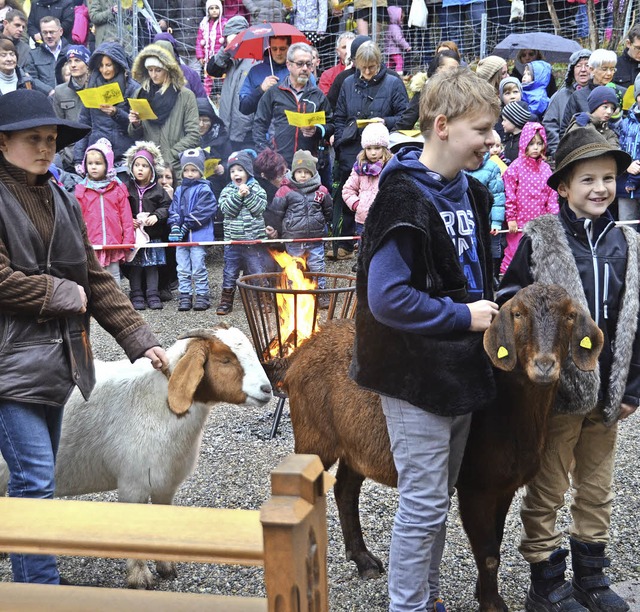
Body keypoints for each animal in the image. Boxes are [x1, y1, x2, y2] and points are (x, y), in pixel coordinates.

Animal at [0, 326, 272, 588]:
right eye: (225, 359)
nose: (267, 389)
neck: (158, 402)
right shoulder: (133, 483)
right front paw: (139, 578)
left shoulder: (165, 484)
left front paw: (166, 567)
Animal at [284, 284, 604, 608]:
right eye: (517, 313)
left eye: (570, 315)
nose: (544, 365)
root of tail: (301, 352)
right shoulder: (475, 486)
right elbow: (489, 553)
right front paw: (492, 603)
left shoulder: (505, 486)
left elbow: (497, 541)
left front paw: (482, 591)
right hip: (313, 435)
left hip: (355, 446)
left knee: (345, 489)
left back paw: (363, 560)